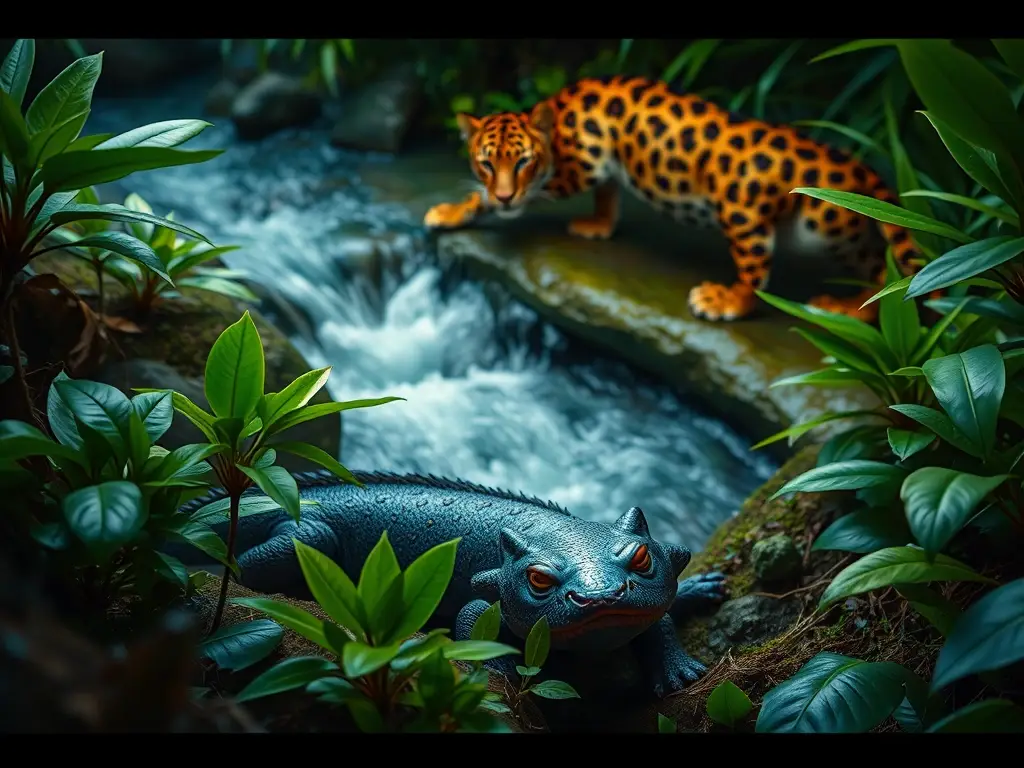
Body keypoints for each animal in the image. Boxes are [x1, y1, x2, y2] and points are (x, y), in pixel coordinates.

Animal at [423, 75, 923, 323]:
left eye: (523, 161)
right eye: (485, 163)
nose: (506, 193)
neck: (559, 122)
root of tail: (850, 163)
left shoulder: (570, 171)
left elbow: (492, 201)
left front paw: (453, 210)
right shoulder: (602, 166)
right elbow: (608, 193)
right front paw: (598, 224)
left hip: (758, 216)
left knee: (759, 276)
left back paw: (728, 302)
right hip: (839, 228)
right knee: (884, 268)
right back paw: (850, 306)